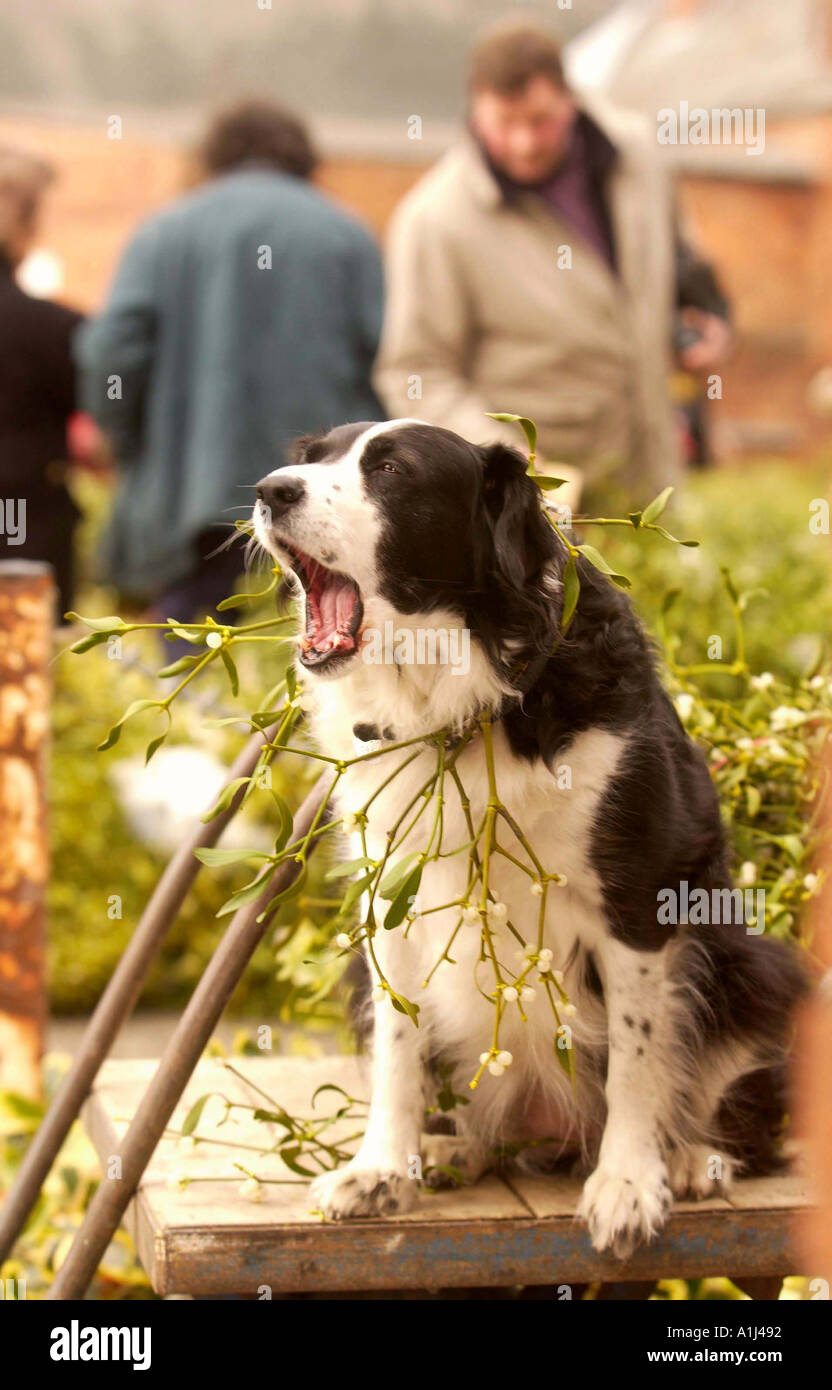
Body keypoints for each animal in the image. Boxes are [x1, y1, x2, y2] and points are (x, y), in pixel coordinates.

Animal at [254, 417, 805, 1256]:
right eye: (312, 459)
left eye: (392, 471)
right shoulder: (389, 904)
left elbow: (638, 1054)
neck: (463, 691)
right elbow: (396, 1047)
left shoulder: (638, 897)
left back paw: (691, 1158)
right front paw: (383, 1166)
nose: (270, 490)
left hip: (757, 964)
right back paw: (450, 1149)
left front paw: (629, 1182)